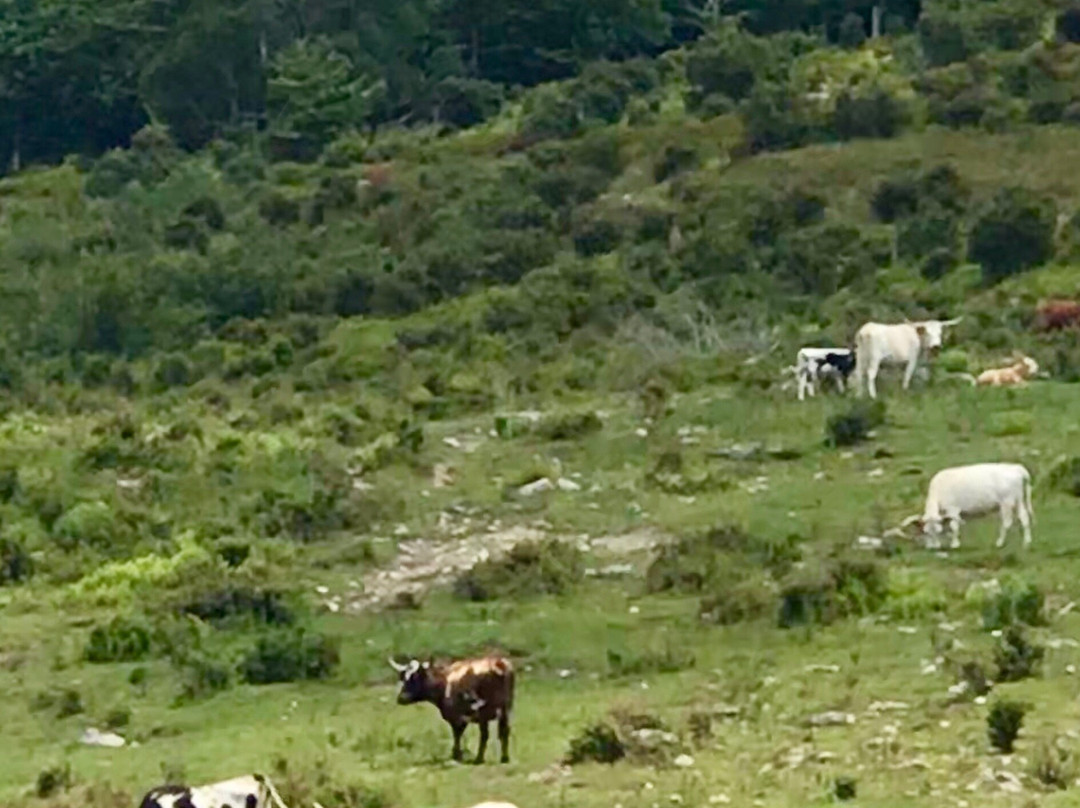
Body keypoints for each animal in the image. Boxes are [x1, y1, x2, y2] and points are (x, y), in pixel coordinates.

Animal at [898, 464, 1032, 553]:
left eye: (939, 532)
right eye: (926, 532)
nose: (934, 548)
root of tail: (1015, 468)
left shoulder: (952, 509)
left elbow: (953, 526)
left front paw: (955, 544)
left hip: (1006, 503)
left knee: (1007, 522)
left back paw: (999, 543)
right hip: (1019, 500)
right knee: (1024, 518)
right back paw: (1026, 543)